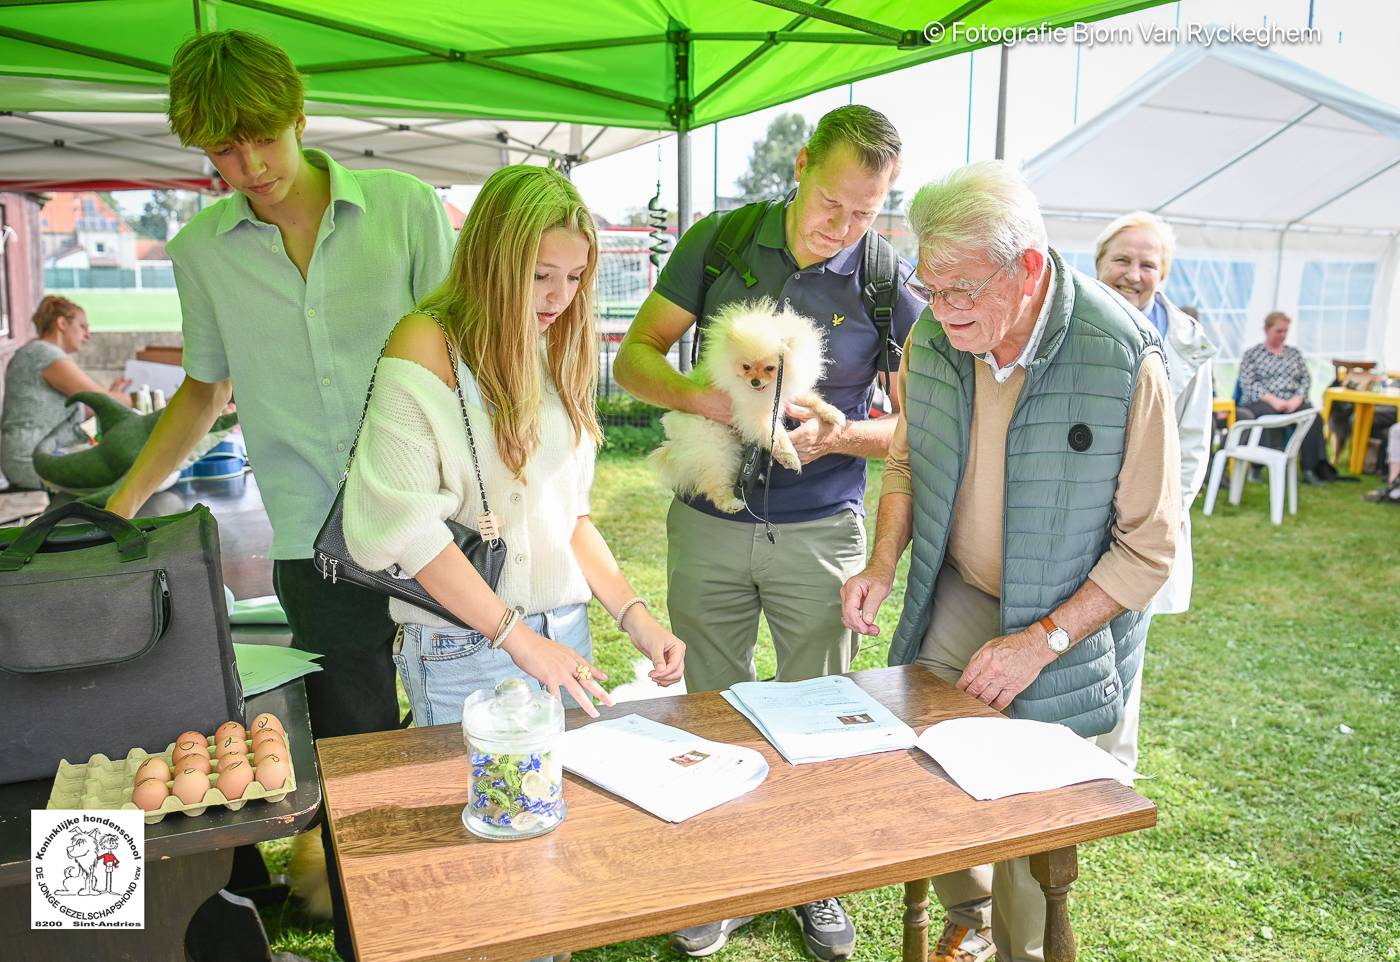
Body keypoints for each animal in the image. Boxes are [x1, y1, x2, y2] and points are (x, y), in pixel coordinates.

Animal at [652, 296, 840, 515]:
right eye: (746, 367)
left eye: (770, 368)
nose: (755, 382)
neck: (766, 391)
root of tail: (676, 443)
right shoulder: (754, 414)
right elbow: (776, 435)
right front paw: (790, 456)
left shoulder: (787, 393)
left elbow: (812, 399)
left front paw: (833, 414)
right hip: (714, 446)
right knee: (713, 480)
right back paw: (730, 502)